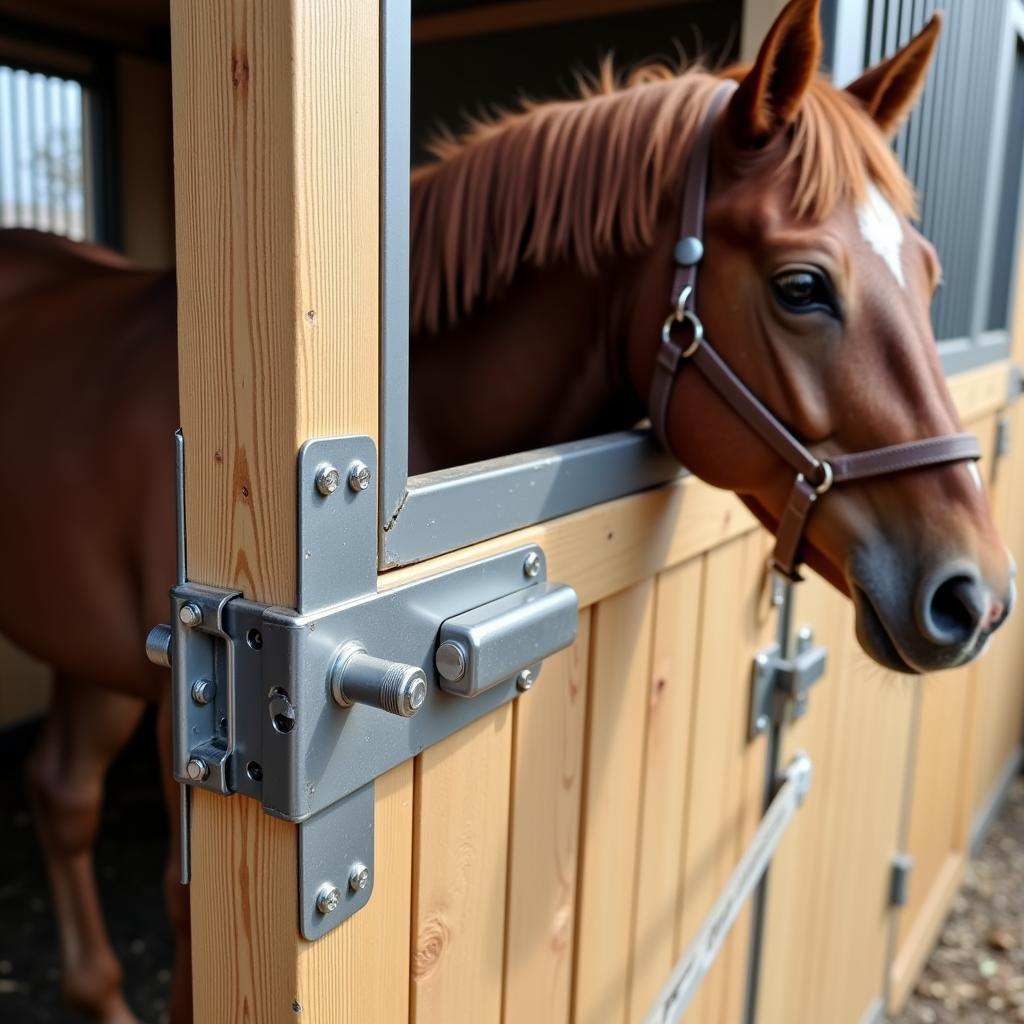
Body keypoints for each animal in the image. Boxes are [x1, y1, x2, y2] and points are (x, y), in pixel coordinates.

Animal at [0, 0, 1007, 1019]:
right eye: (802, 286)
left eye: (930, 275)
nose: (974, 595)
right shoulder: (181, 703)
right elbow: (180, 910)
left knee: (59, 791)